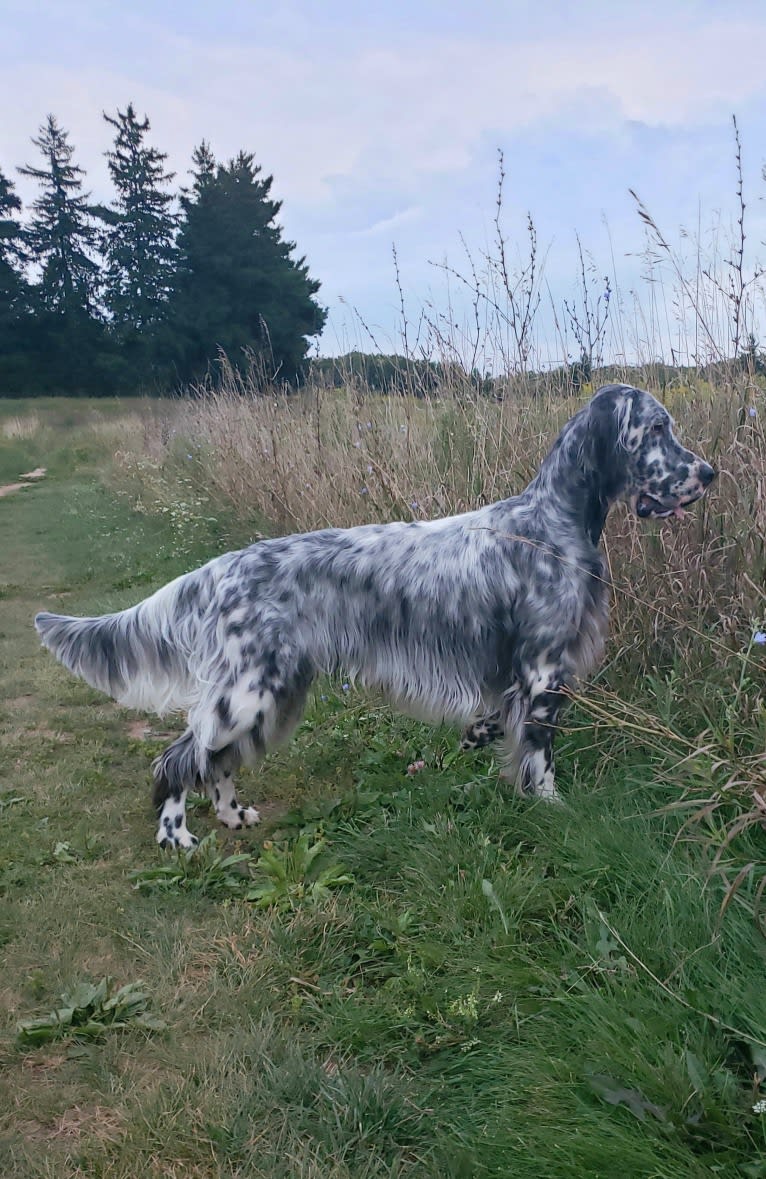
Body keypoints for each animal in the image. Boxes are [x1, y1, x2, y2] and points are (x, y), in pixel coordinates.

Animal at [35, 386, 711, 848]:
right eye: (657, 428)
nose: (708, 472)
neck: (551, 524)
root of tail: (219, 568)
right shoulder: (545, 668)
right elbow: (539, 754)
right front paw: (550, 807)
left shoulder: (516, 673)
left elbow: (499, 722)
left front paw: (480, 736)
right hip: (250, 691)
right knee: (181, 758)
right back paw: (176, 834)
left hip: (275, 687)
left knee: (215, 760)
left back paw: (232, 814)